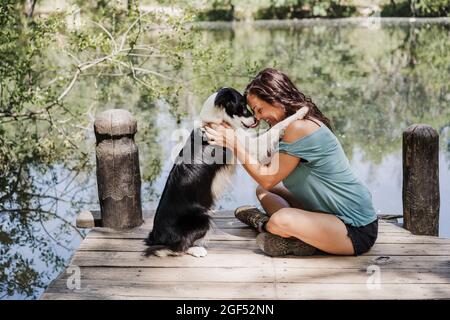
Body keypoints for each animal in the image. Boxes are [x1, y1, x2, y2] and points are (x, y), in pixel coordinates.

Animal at [146, 87, 308, 258]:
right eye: (242, 105)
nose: (255, 120)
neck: (216, 120)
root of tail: (157, 235)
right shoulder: (249, 145)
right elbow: (274, 129)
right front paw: (301, 111)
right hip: (202, 218)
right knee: (176, 247)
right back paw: (197, 249)